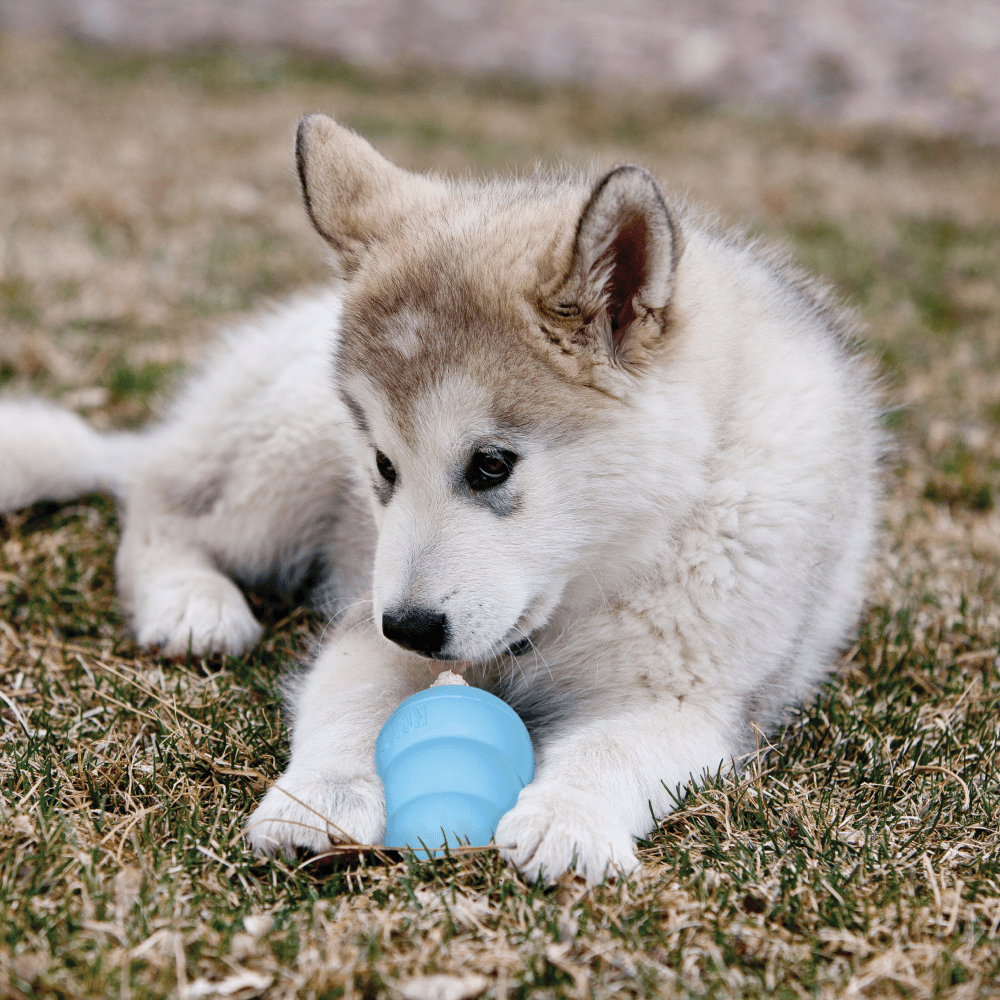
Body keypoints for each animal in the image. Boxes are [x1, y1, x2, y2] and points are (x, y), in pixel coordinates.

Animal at [0, 115, 880, 884]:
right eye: (383, 464)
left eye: (491, 465)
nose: (414, 629)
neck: (608, 565)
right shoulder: (366, 620)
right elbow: (349, 709)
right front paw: (316, 802)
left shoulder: (693, 702)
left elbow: (613, 750)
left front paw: (566, 823)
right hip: (287, 444)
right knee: (158, 502)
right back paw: (192, 603)